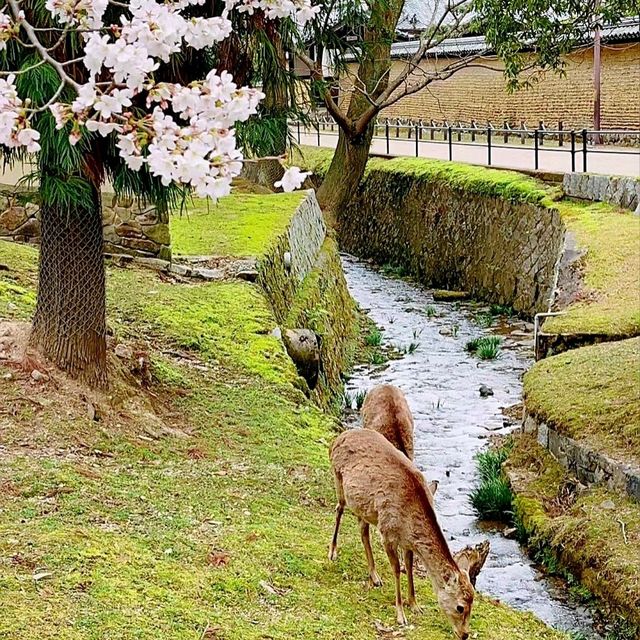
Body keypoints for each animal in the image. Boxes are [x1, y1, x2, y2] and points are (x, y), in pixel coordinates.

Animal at [328, 428, 488, 636]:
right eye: (460, 607)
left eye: (472, 604)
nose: (465, 634)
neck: (409, 521)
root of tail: (337, 439)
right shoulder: (387, 533)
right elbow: (397, 569)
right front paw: (400, 615)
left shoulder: (408, 541)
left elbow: (409, 567)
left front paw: (414, 604)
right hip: (338, 478)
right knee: (339, 509)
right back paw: (332, 552)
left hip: (364, 506)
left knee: (362, 529)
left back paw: (375, 576)